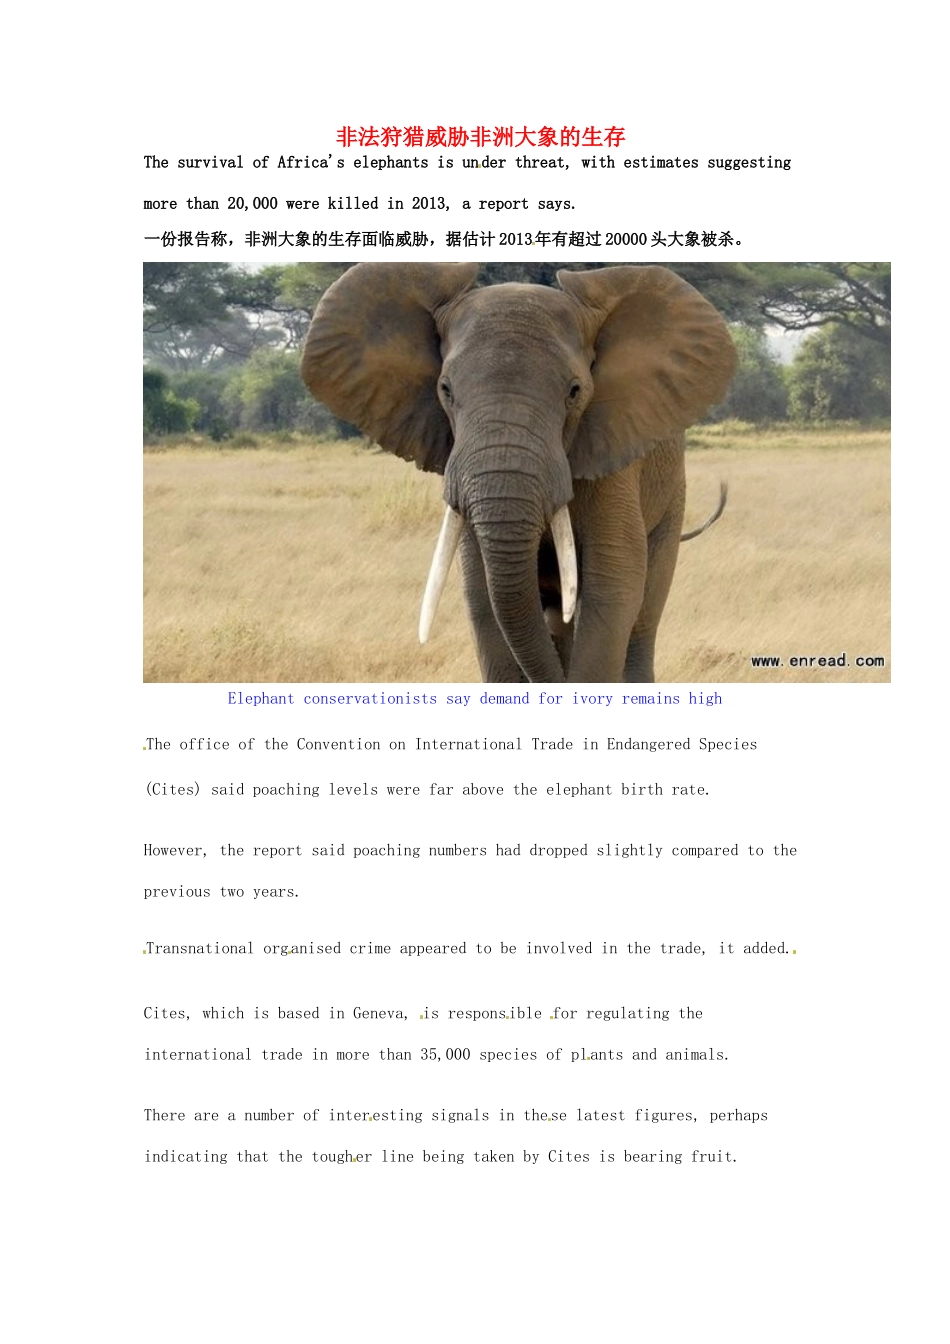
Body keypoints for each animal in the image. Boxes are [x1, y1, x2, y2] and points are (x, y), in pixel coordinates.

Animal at [301, 263, 736, 683]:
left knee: (643, 618)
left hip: (671, 500)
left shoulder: (613, 464)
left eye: (575, 391)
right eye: (445, 390)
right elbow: (483, 599)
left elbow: (613, 587)